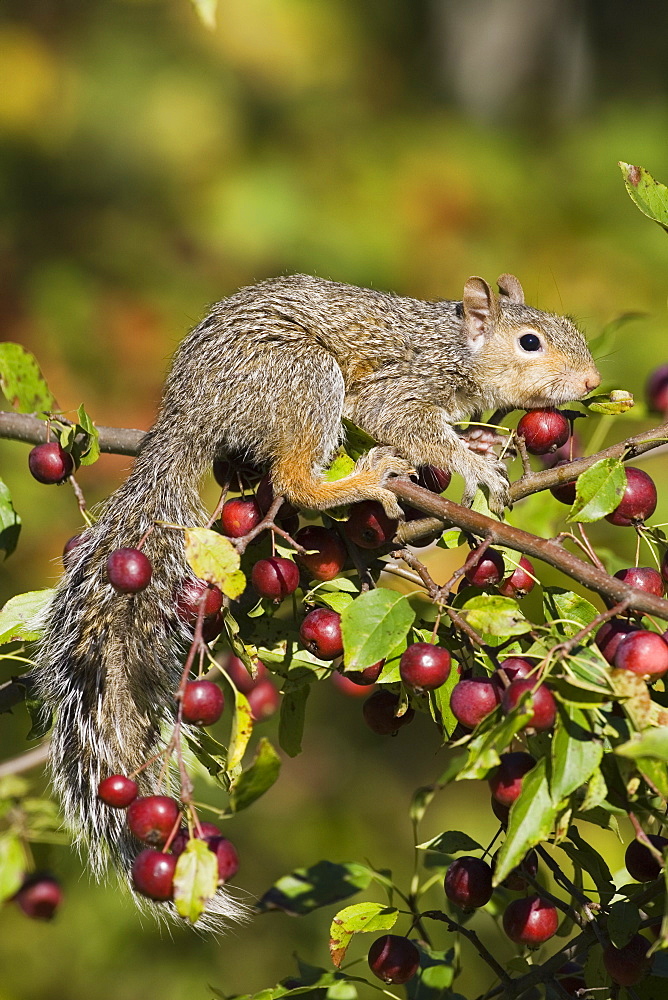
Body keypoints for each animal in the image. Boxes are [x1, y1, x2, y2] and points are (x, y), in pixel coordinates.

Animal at [34, 270, 604, 924]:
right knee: (292, 480)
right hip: (303, 378)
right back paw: (363, 479)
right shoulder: (401, 384)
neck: (456, 346)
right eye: (530, 342)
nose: (592, 382)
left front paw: (483, 444)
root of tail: (189, 409)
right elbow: (402, 421)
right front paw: (470, 462)